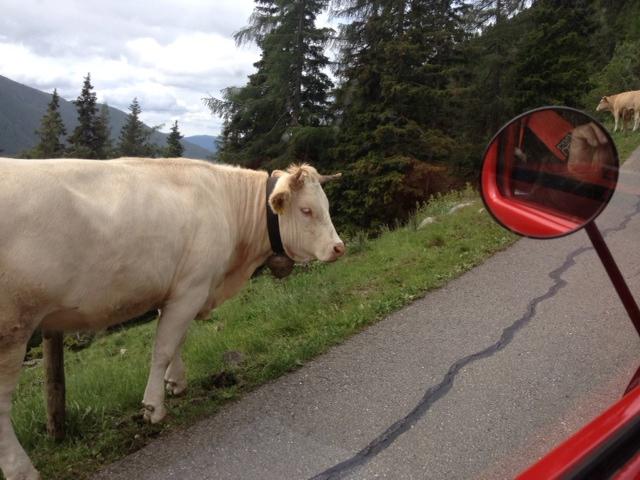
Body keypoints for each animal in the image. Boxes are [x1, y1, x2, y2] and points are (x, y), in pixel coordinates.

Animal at [0, 158, 344, 480]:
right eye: (307, 210)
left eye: (325, 205)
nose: (338, 247)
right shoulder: (191, 288)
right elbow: (163, 348)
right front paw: (153, 407)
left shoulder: (179, 291)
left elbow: (177, 340)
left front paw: (175, 382)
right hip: (12, 328)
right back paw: (21, 469)